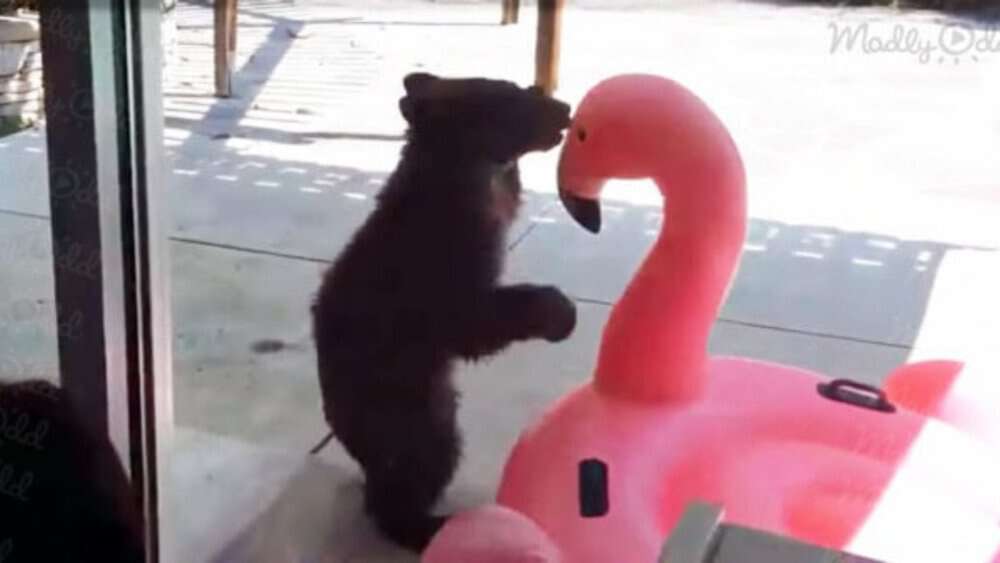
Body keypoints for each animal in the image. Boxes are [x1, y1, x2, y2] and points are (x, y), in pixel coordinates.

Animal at [310, 72, 577, 552]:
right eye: (508, 97)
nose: (565, 108)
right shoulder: (444, 263)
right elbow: (473, 320)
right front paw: (558, 311)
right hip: (410, 414)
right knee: (411, 476)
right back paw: (429, 525)